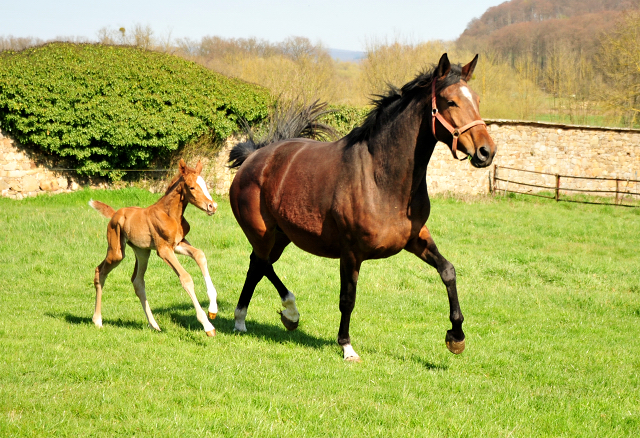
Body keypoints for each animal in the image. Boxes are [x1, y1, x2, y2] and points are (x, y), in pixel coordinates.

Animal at [89, 160, 220, 336]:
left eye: (205, 184)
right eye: (192, 187)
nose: (212, 206)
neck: (171, 215)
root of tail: (115, 214)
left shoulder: (178, 244)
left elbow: (200, 255)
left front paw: (213, 309)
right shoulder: (163, 250)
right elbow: (186, 278)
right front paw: (207, 326)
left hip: (142, 252)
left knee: (137, 281)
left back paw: (154, 325)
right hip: (116, 252)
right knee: (100, 271)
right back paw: (97, 320)